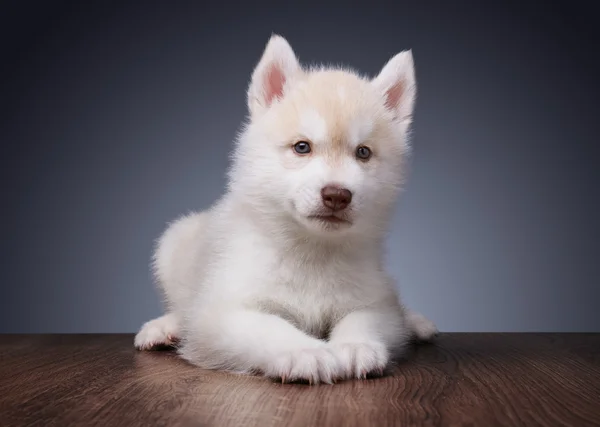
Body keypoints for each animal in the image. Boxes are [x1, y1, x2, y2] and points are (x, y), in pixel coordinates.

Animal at [135, 35, 436, 386]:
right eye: (302, 147)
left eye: (363, 152)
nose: (337, 195)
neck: (312, 253)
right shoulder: (221, 313)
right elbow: (268, 326)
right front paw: (305, 351)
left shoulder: (374, 301)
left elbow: (365, 318)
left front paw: (354, 346)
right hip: (172, 243)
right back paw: (164, 327)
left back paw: (416, 322)